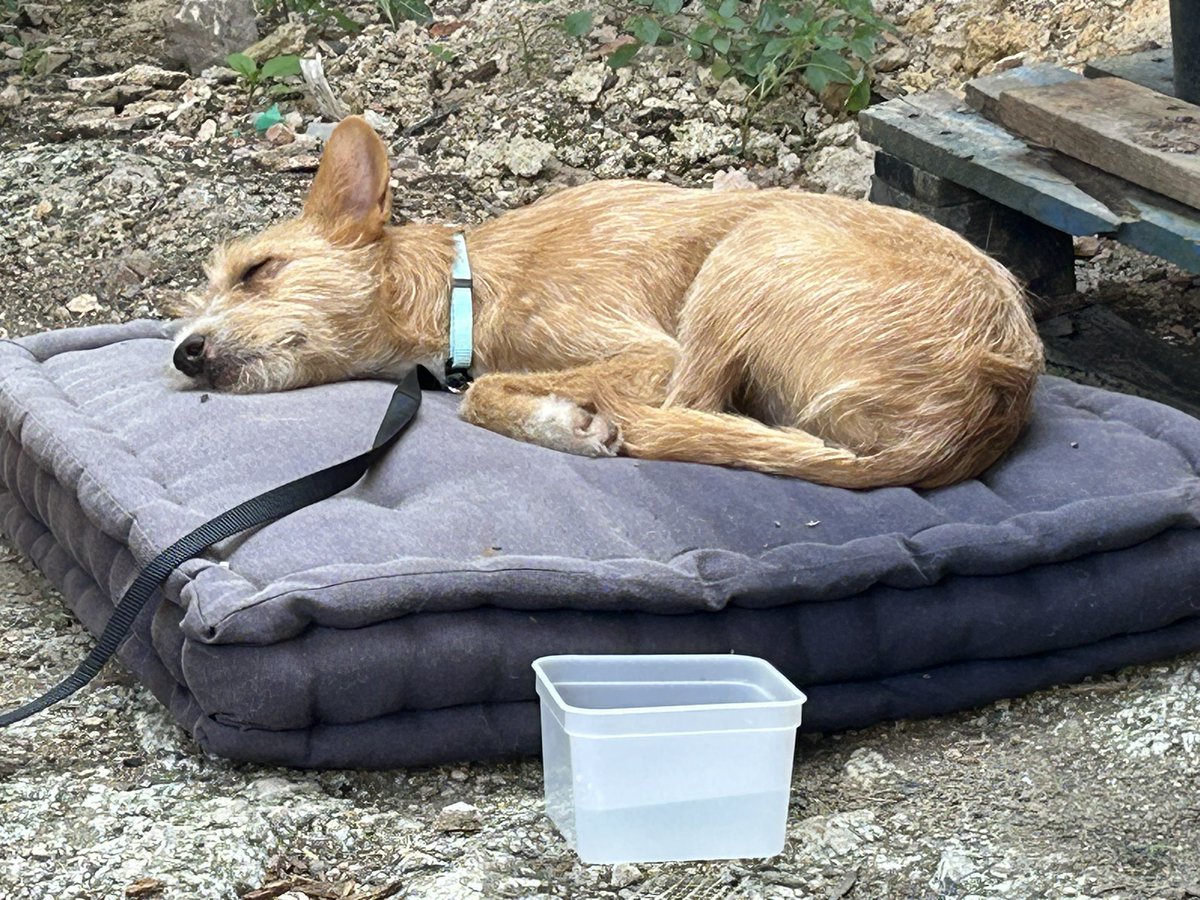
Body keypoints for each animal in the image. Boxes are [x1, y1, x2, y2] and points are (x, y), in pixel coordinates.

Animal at [174, 118, 1046, 494]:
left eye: (257, 270)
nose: (184, 352)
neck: (468, 285)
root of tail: (990, 394)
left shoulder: (648, 354)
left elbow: (485, 394)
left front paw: (563, 419)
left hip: (751, 251)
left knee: (691, 412)